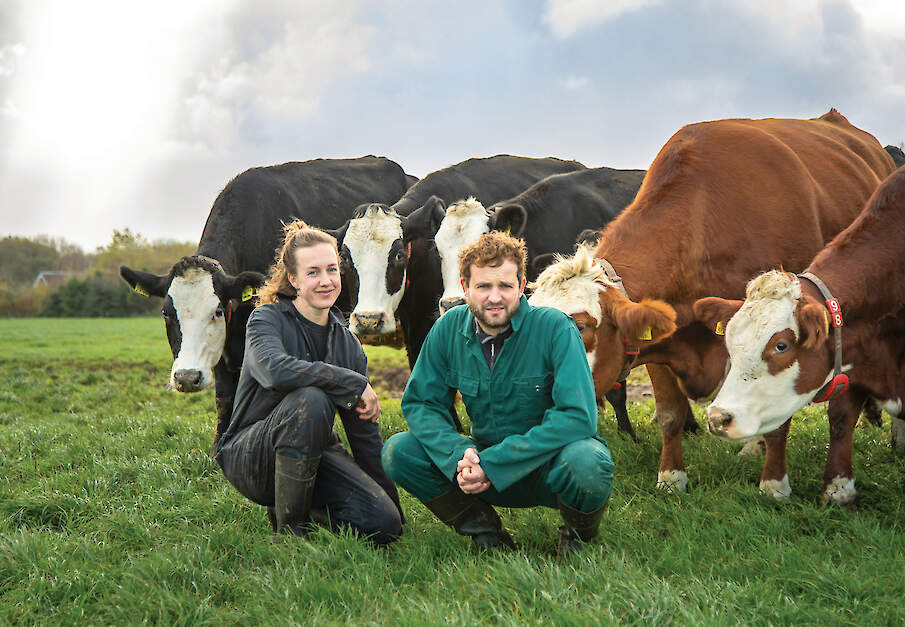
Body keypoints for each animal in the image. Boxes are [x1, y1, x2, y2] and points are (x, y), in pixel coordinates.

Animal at [120, 157, 414, 452]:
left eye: (217, 311)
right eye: (166, 313)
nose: (186, 377)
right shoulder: (222, 349)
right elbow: (225, 396)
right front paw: (217, 449)